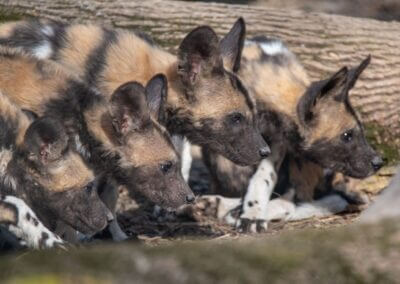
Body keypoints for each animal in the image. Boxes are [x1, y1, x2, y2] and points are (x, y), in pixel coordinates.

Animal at [203, 36, 384, 232]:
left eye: (361, 131)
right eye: (347, 135)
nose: (379, 163)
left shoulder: (277, 143)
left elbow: (263, 178)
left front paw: (252, 214)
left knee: (296, 200)